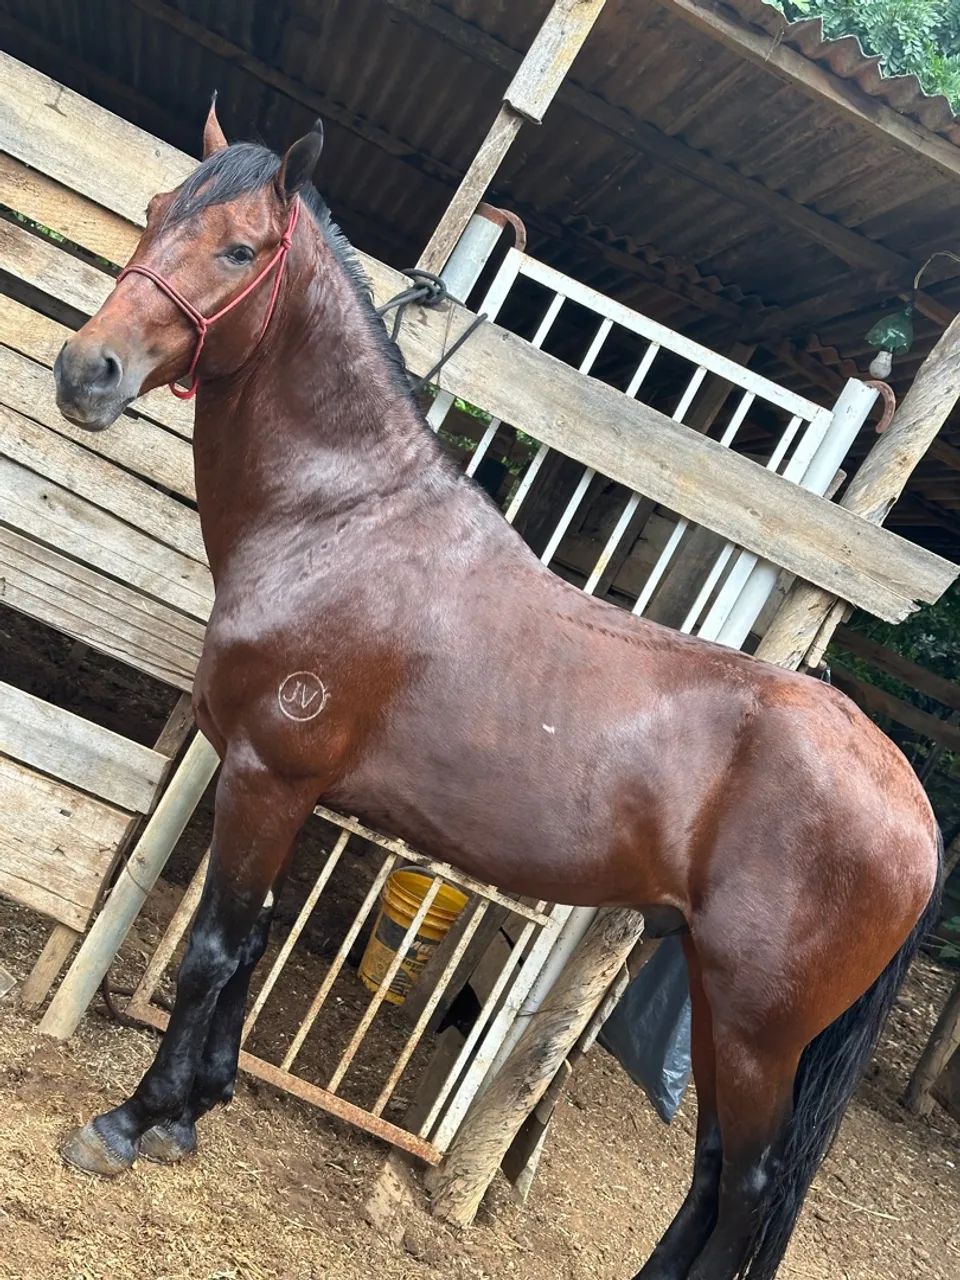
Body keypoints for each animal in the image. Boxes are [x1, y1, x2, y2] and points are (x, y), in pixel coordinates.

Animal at [52, 104, 941, 1280]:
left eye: (241, 249)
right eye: (158, 212)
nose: (86, 369)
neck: (344, 521)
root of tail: (915, 809)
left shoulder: (263, 774)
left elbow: (211, 947)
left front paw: (134, 1119)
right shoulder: (290, 793)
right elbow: (251, 941)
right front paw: (197, 1106)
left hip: (760, 1025)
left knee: (749, 1186)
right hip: (719, 999)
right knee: (713, 1173)